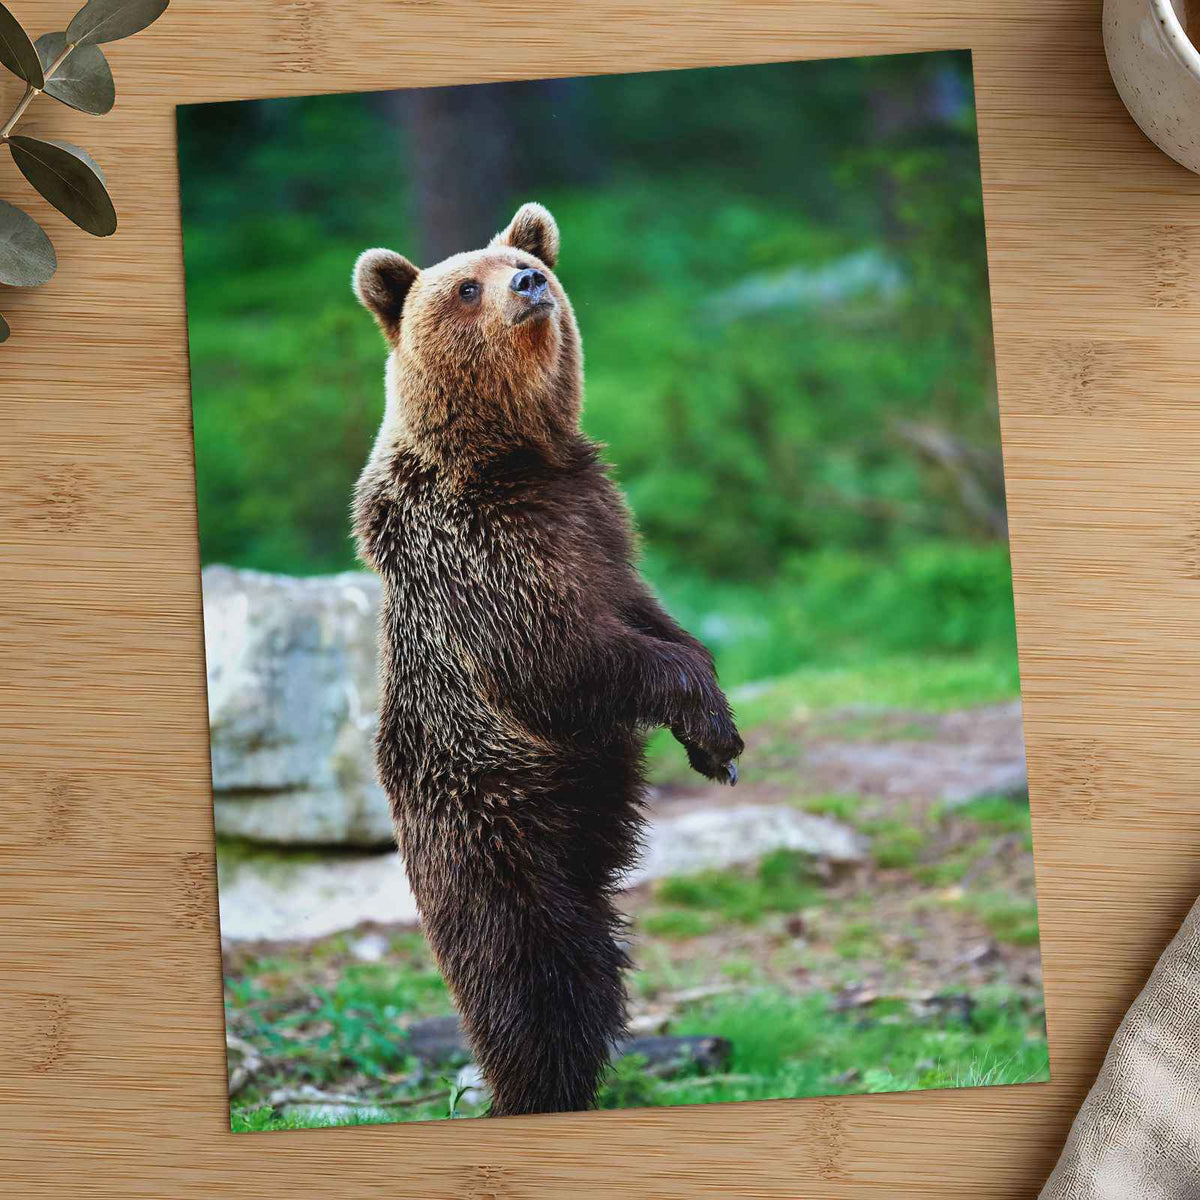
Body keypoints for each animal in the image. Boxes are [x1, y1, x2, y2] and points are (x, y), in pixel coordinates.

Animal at [351, 202, 743, 1117]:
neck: (516, 455)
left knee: (590, 969)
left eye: (522, 263)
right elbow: (563, 658)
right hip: (494, 823)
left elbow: (653, 616)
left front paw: (716, 733)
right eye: (466, 285)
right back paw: (531, 1089)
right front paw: (709, 722)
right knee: (527, 971)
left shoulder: (597, 520)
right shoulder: (482, 561)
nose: (529, 283)